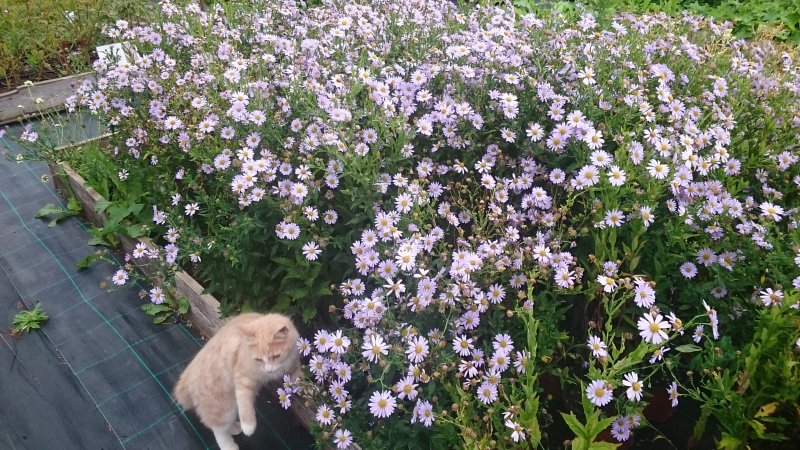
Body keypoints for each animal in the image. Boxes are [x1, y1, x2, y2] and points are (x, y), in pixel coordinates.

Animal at [174, 312, 300, 450]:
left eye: (276, 356)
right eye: (259, 359)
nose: (269, 370)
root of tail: (187, 377)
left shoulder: (293, 359)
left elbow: (296, 371)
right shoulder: (242, 378)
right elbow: (245, 404)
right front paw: (248, 426)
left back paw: (234, 428)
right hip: (222, 408)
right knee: (218, 430)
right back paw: (229, 445)